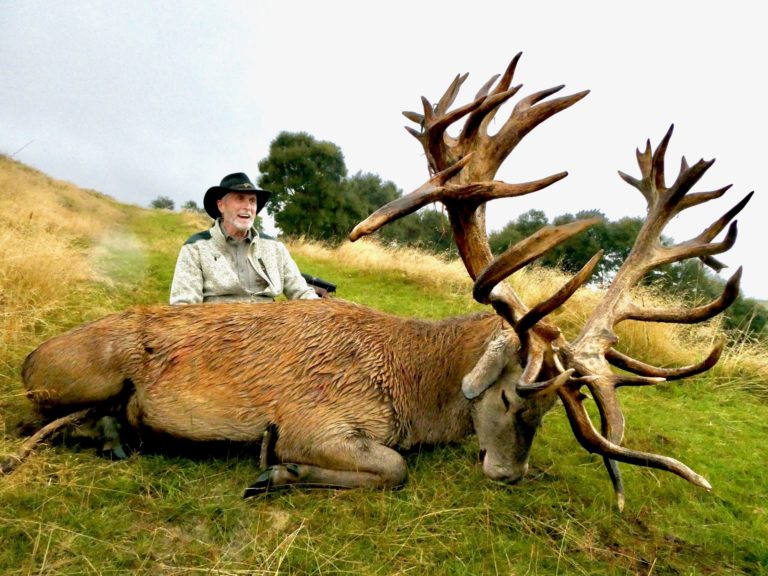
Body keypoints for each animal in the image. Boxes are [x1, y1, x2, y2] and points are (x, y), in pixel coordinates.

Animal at [3, 54, 751, 509]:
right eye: (513, 397)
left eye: (550, 414)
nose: (507, 475)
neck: (416, 390)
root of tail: (32, 357)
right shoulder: (317, 418)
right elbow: (391, 468)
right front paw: (274, 468)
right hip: (84, 371)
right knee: (31, 420)